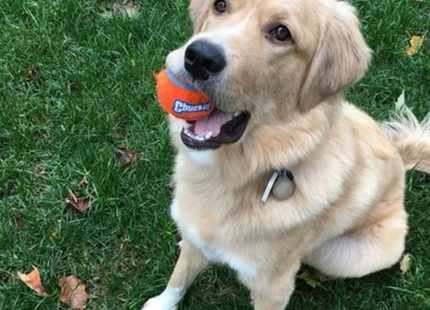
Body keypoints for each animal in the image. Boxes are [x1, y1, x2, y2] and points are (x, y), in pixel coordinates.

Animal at [142, 0, 430, 308]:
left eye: (281, 33)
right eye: (220, 5)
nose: (198, 57)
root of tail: (399, 155)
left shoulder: (273, 287)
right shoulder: (196, 232)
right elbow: (180, 275)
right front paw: (162, 302)